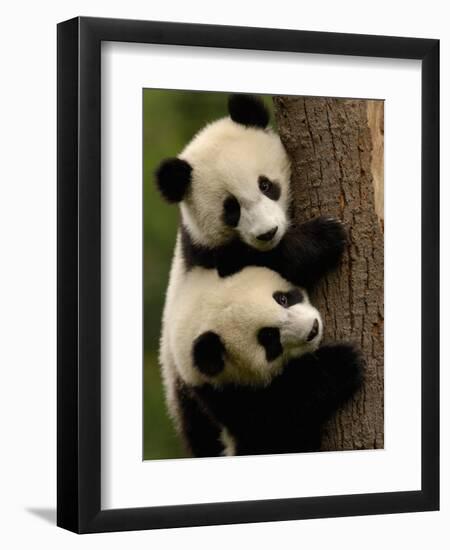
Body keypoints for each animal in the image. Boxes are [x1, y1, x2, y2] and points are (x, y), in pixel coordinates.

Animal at [162, 266, 362, 458]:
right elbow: (273, 424)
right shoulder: (225, 399)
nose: (313, 329)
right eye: (269, 337)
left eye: (282, 299)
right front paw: (340, 363)